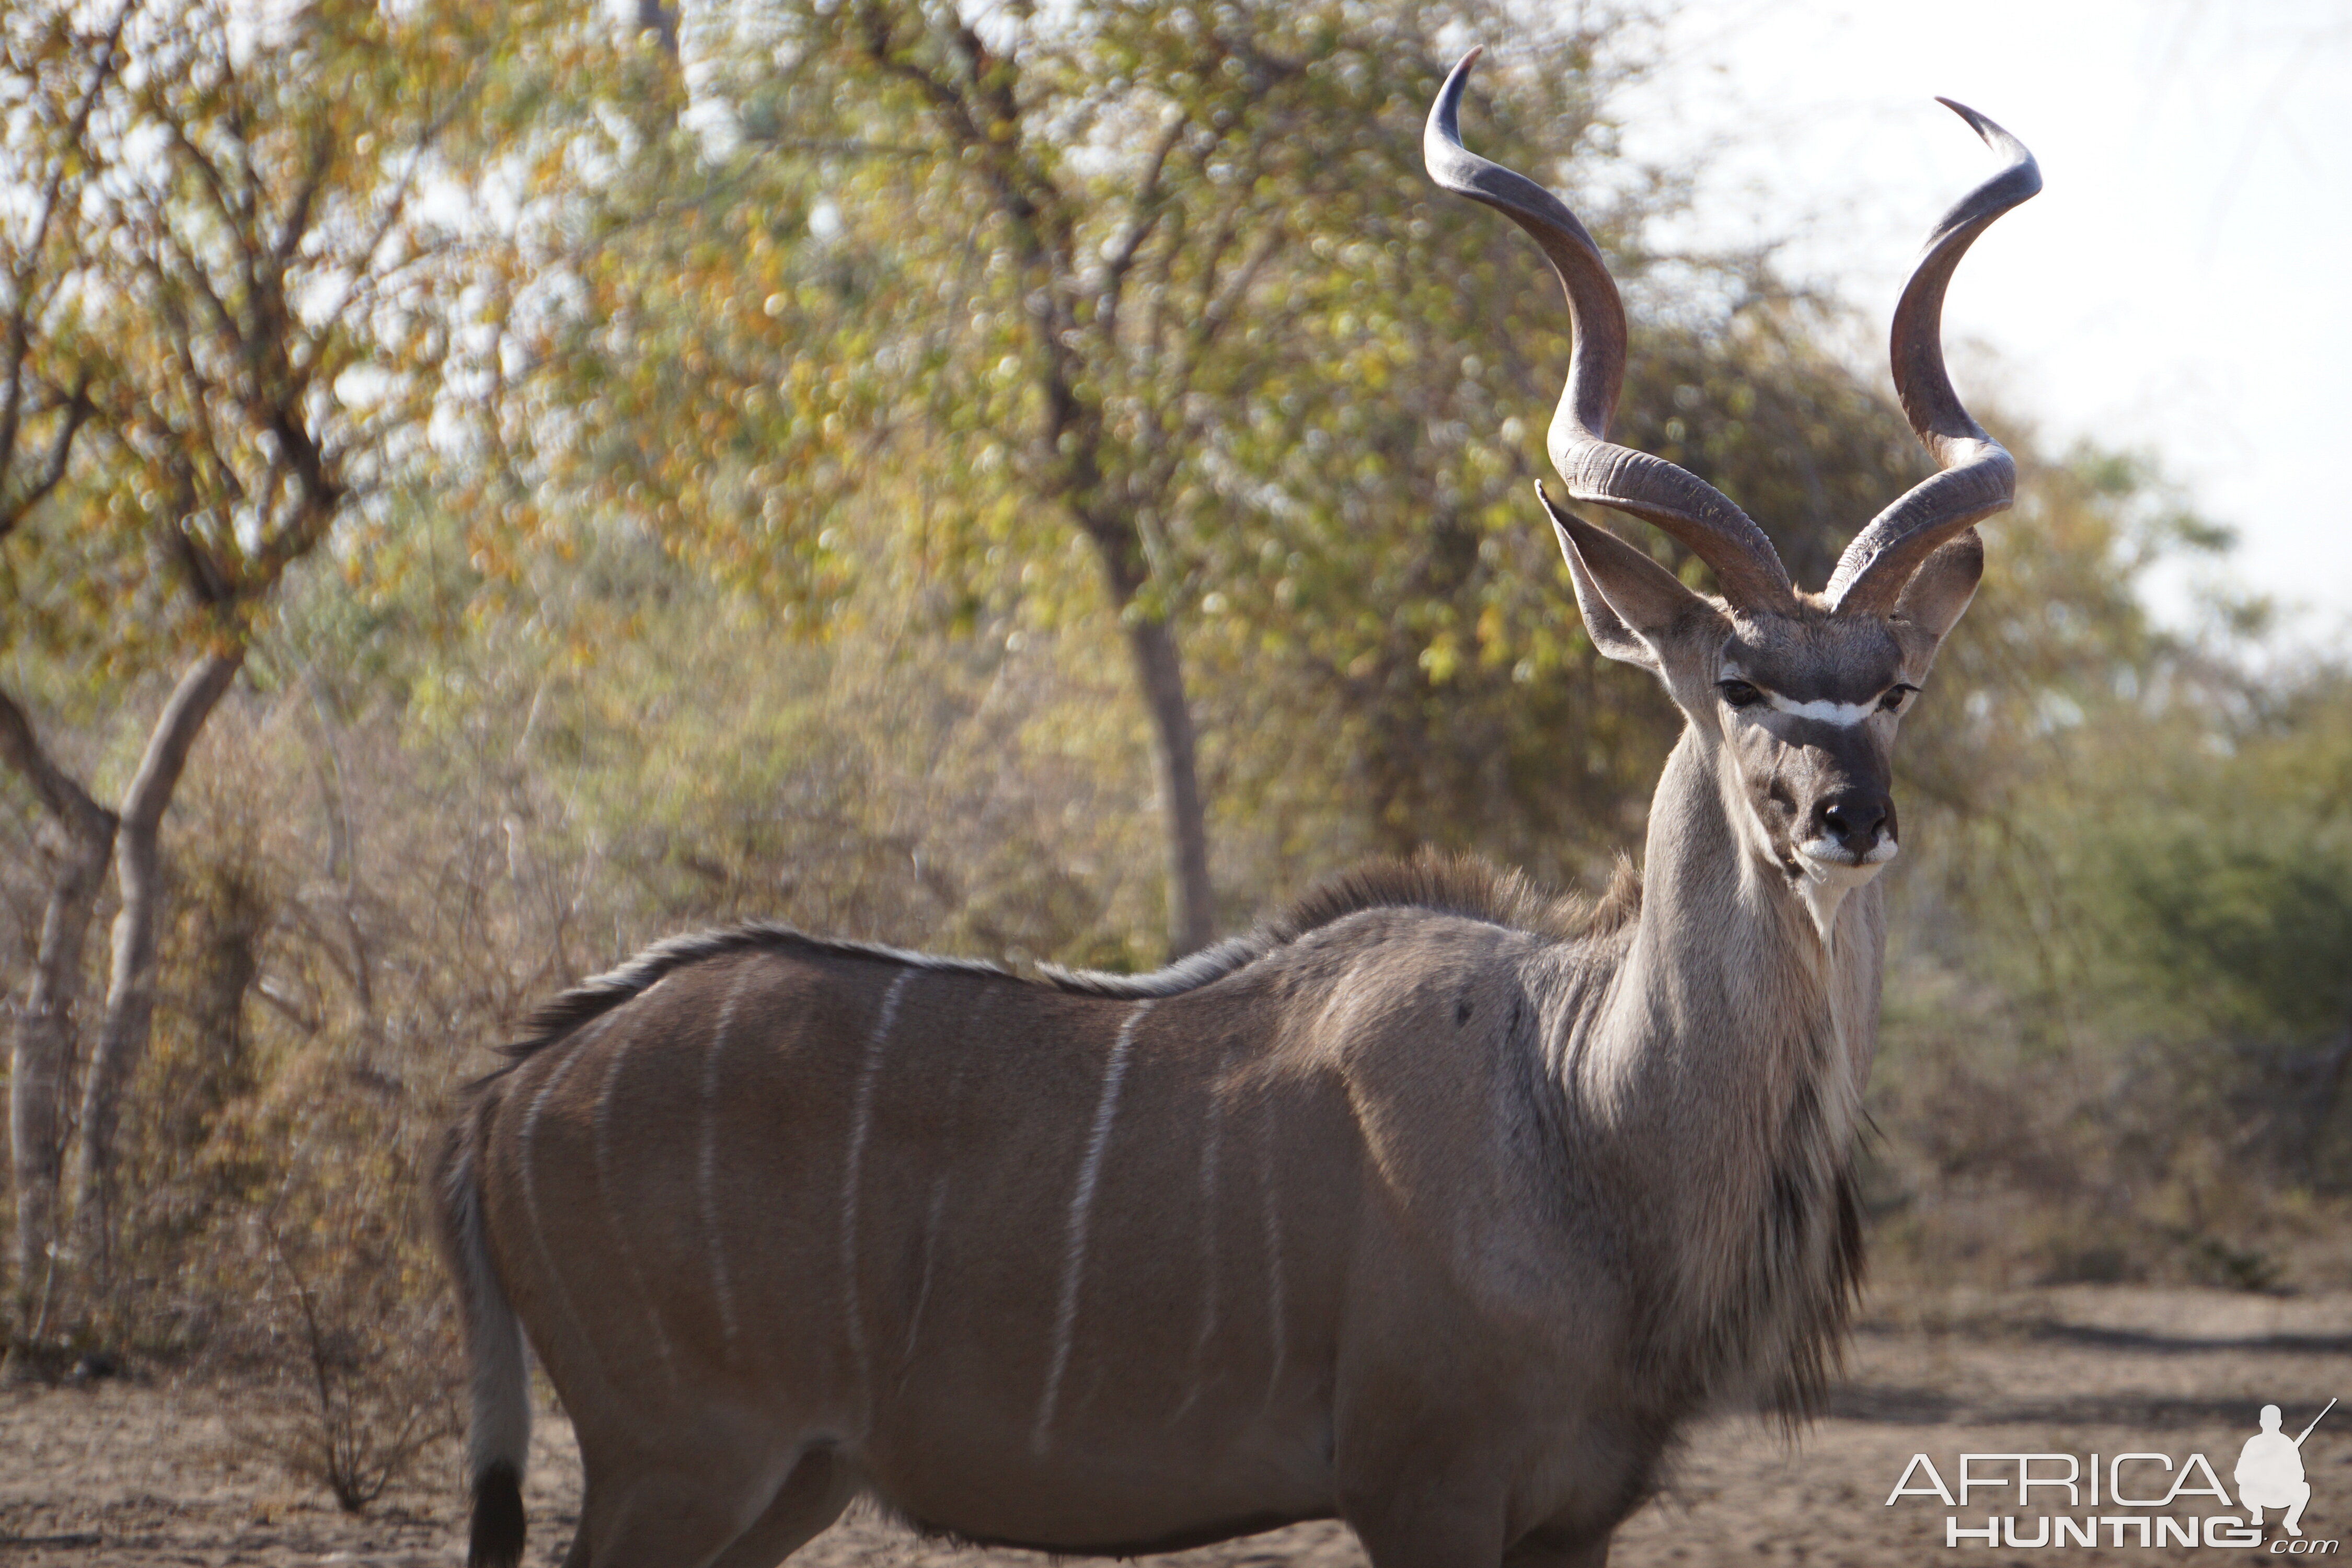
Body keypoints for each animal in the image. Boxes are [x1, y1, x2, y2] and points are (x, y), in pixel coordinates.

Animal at [437, 49, 2042, 1568]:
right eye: (1736, 679)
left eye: (1893, 685)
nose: (1846, 819)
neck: (1575, 1099)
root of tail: (511, 1093)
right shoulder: (1424, 1491)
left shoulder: (1572, 1520)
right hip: (680, 1464)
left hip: (787, 1482)